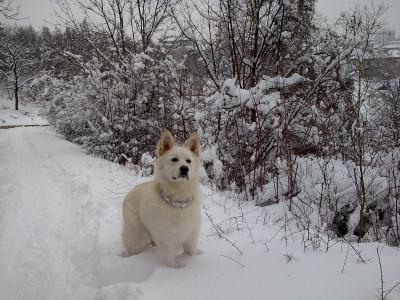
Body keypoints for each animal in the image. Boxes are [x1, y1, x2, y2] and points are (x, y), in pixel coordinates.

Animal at [121, 131, 203, 268]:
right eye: (174, 159)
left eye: (189, 161)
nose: (185, 169)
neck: (178, 200)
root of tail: (130, 193)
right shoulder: (166, 239)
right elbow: (170, 261)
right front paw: (175, 269)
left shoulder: (191, 235)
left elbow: (190, 252)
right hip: (135, 237)